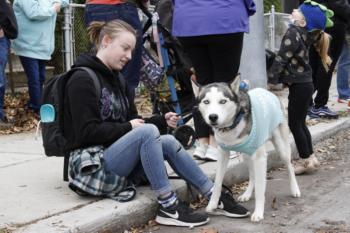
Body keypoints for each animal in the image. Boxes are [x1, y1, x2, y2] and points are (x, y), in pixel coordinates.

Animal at [191, 77, 300, 221]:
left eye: (223, 101)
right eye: (206, 102)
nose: (213, 117)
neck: (231, 126)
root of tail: (268, 92)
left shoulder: (260, 158)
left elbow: (260, 188)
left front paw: (258, 212)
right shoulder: (223, 155)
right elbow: (218, 182)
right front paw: (213, 204)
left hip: (281, 147)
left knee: (289, 166)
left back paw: (295, 189)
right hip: (247, 155)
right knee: (252, 174)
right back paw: (247, 194)